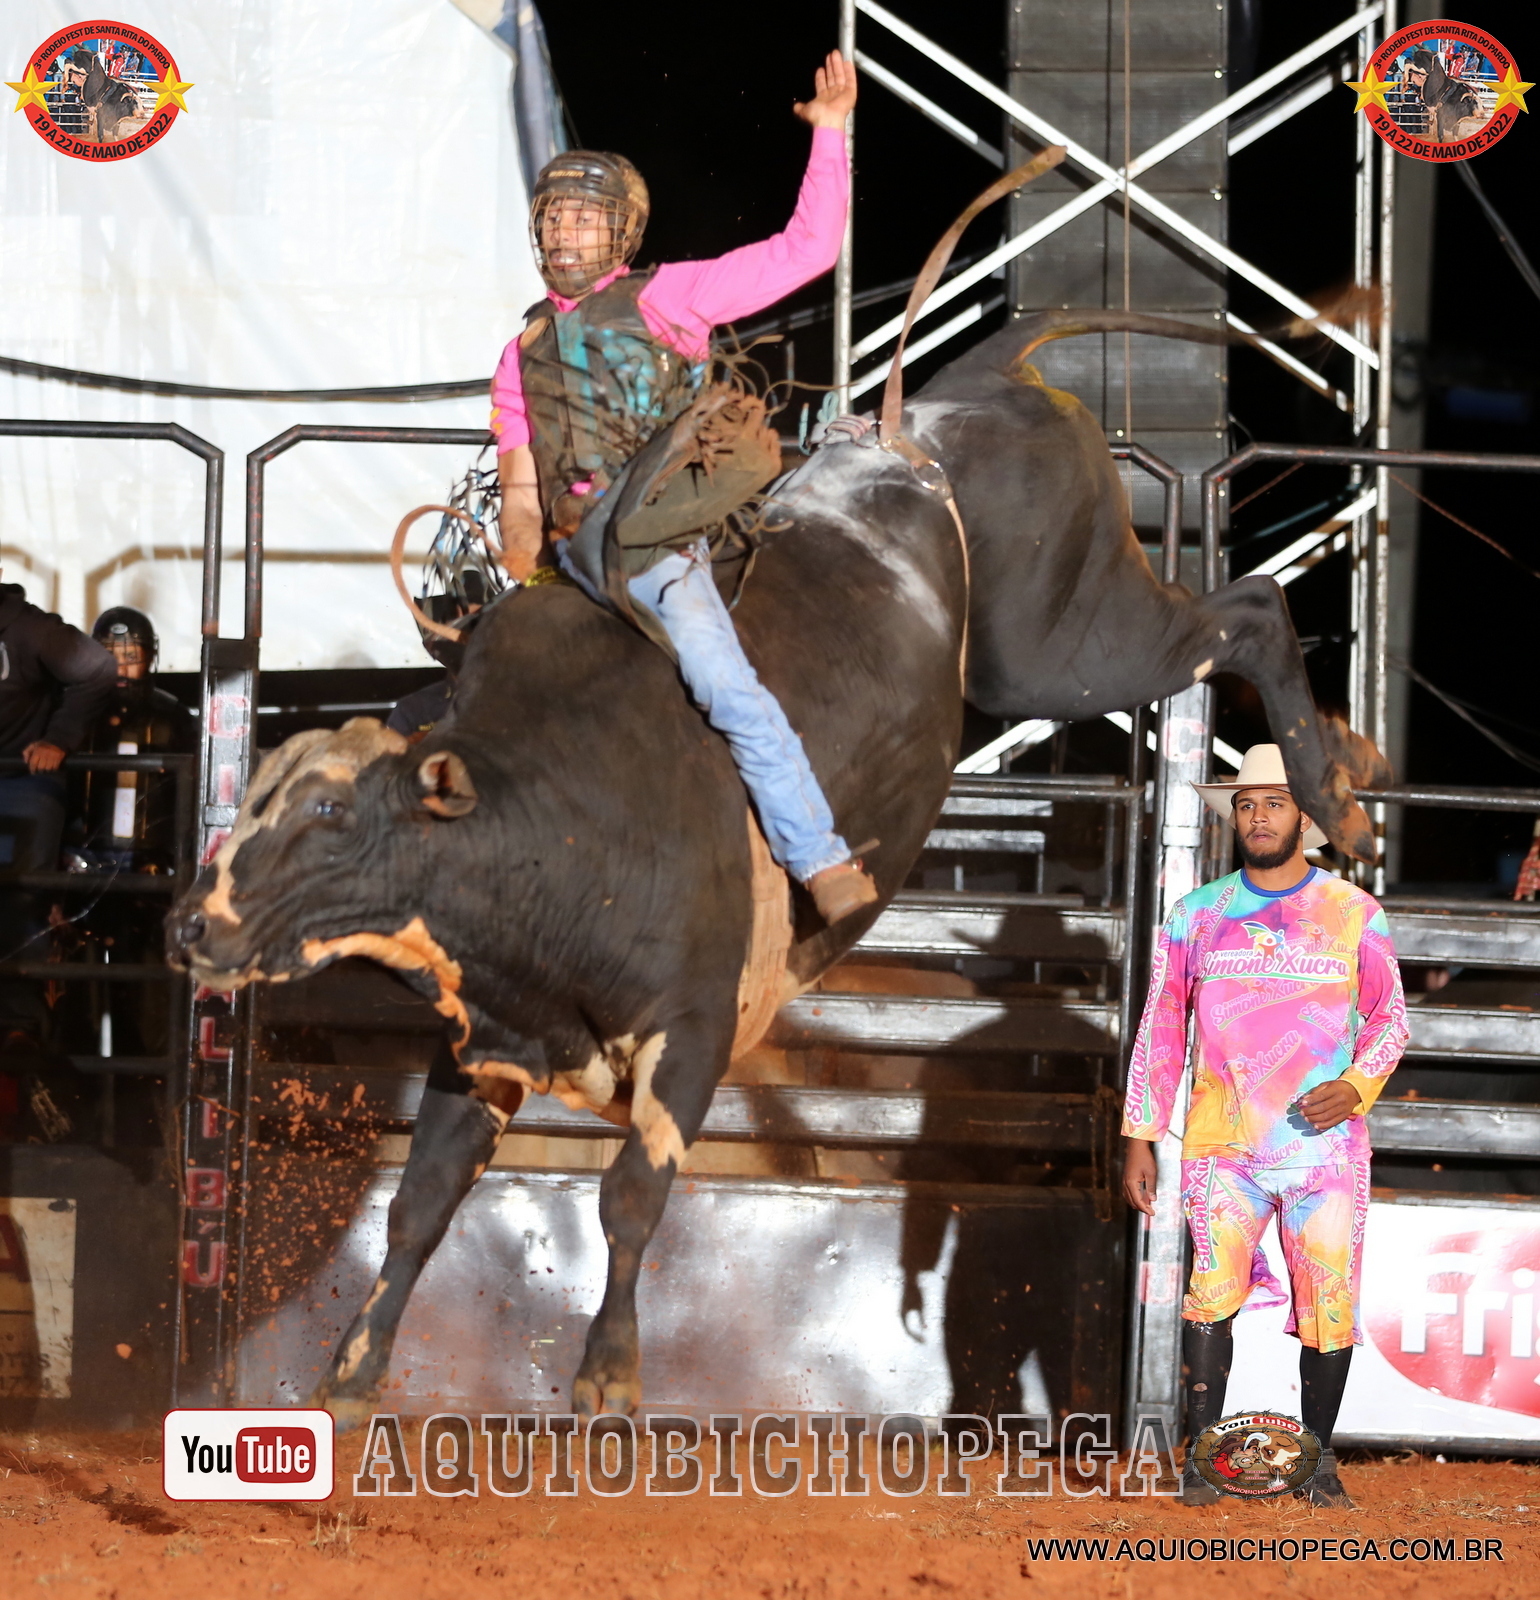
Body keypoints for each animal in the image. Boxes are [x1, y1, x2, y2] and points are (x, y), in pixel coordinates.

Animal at [166, 309, 1388, 1424]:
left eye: (331, 811)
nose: (192, 925)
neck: (550, 825)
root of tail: (949, 396)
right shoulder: (489, 1042)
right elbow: (420, 1201)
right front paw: (348, 1376)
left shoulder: (698, 1025)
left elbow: (631, 1195)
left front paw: (609, 1376)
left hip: (1065, 645)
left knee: (1246, 609)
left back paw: (1338, 790)